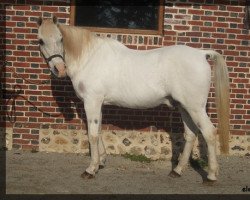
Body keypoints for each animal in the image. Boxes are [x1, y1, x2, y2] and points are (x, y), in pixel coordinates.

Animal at [37, 16, 230, 184]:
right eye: (40, 41)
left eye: (61, 39)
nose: (59, 69)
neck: (89, 58)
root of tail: (201, 54)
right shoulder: (98, 103)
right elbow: (98, 131)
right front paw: (101, 162)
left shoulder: (91, 101)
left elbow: (92, 135)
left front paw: (90, 170)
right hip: (184, 107)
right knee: (190, 134)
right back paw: (177, 170)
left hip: (195, 107)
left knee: (209, 133)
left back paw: (211, 176)